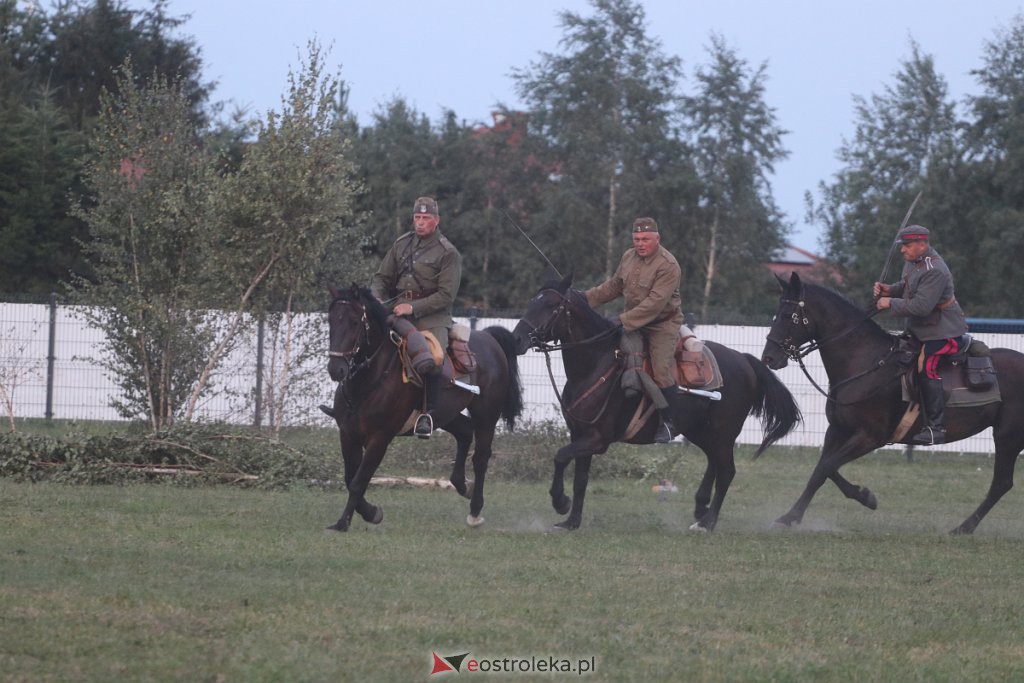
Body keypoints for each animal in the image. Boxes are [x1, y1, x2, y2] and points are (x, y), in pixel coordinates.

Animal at [325, 286, 524, 532]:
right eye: (330, 320)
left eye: (354, 321)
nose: (336, 369)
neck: (369, 381)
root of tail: (488, 338)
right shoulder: (348, 435)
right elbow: (349, 478)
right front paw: (369, 513)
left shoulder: (380, 439)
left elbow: (358, 481)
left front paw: (345, 522)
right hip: (446, 415)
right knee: (465, 432)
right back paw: (462, 485)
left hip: (486, 416)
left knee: (480, 457)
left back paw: (475, 511)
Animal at [509, 274, 798, 532]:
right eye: (532, 302)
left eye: (550, 305)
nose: (517, 339)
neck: (596, 365)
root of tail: (745, 360)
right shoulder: (580, 434)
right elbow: (580, 479)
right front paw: (571, 521)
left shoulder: (597, 439)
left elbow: (560, 457)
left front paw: (560, 502)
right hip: (702, 432)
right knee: (714, 463)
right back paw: (700, 508)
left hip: (723, 433)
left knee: (726, 471)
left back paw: (707, 523)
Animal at [757, 272, 1024, 532]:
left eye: (788, 315)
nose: (768, 358)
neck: (867, 363)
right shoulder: (838, 430)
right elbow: (820, 472)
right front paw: (789, 517)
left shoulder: (870, 437)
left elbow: (828, 466)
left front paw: (865, 496)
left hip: (1007, 437)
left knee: (1001, 483)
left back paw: (964, 527)